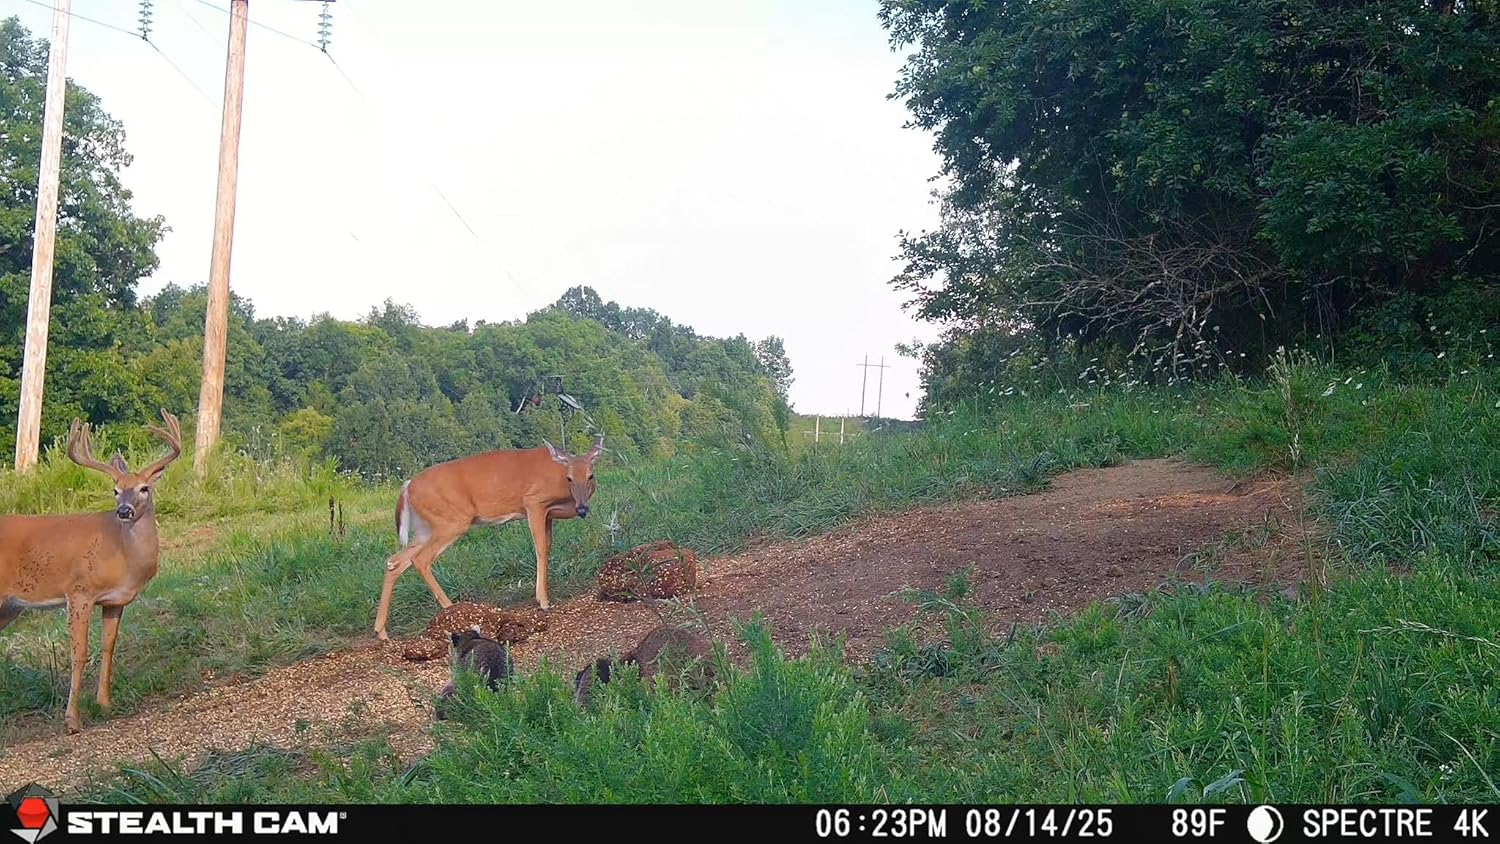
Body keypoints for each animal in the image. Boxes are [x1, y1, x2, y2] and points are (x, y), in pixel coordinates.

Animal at [0, 409, 182, 734]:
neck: (123, 554)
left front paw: (105, 704)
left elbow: (108, 646)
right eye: (115, 490)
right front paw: (72, 719)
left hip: (10, 607)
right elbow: (80, 651)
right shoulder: (79, 591)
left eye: (144, 488)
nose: (124, 511)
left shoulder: (115, 601)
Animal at [373, 435, 603, 641]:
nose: (582, 509)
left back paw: (381, 632)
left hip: (426, 528)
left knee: (395, 561)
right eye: (569, 478)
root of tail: (406, 487)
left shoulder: (548, 515)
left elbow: (547, 548)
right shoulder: (534, 502)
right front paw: (543, 601)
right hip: (452, 521)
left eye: (590, 475)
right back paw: (452, 610)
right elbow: (539, 548)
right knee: (420, 560)